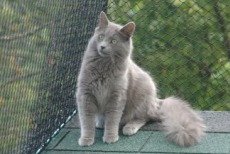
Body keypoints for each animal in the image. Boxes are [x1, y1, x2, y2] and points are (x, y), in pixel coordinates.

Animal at [76, 11, 206, 147]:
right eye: (101, 37)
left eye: (113, 41)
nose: (102, 46)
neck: (103, 66)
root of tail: (156, 101)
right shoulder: (85, 94)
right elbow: (86, 121)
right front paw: (86, 139)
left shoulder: (116, 96)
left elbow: (112, 119)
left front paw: (110, 137)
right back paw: (101, 123)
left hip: (142, 98)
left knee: (144, 118)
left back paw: (129, 128)